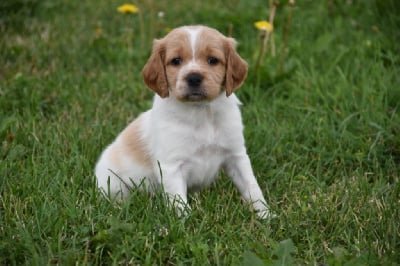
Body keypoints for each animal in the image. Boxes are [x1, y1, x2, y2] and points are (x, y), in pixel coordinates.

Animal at [95, 25, 274, 218]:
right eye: (176, 61)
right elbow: (179, 201)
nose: (194, 77)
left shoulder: (236, 155)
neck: (201, 112)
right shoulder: (171, 166)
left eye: (213, 60)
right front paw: (186, 222)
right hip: (113, 183)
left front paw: (265, 215)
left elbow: (251, 186)